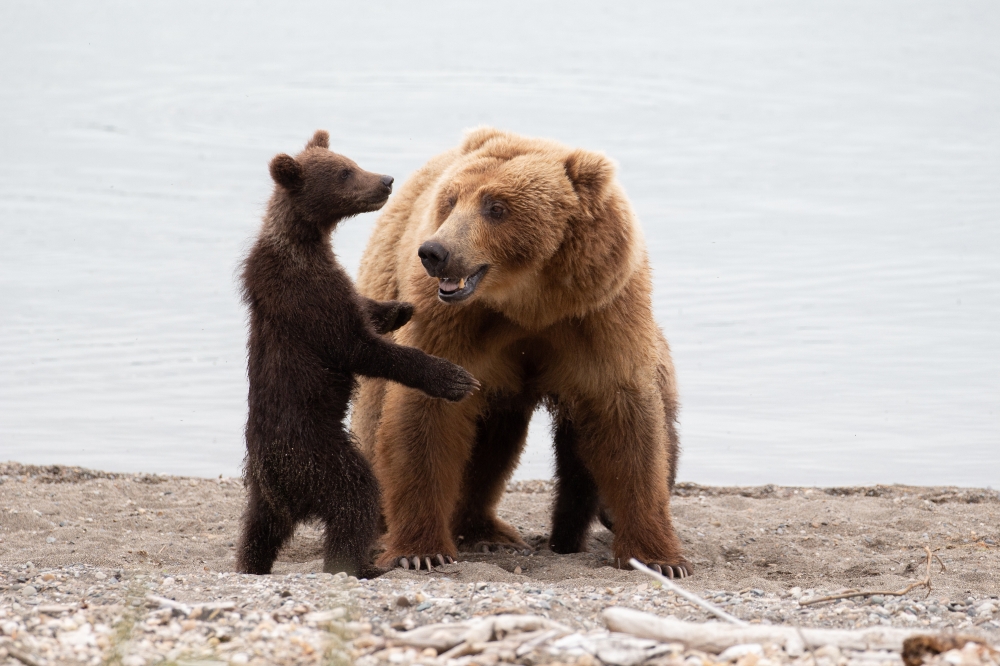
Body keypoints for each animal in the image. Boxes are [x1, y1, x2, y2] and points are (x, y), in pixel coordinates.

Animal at [350, 127, 688, 572]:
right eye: (452, 200)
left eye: (496, 207)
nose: (435, 252)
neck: (529, 302)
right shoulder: (452, 324)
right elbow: (427, 416)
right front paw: (421, 551)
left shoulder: (600, 316)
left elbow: (625, 421)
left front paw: (659, 558)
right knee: (378, 413)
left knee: (495, 442)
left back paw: (486, 533)